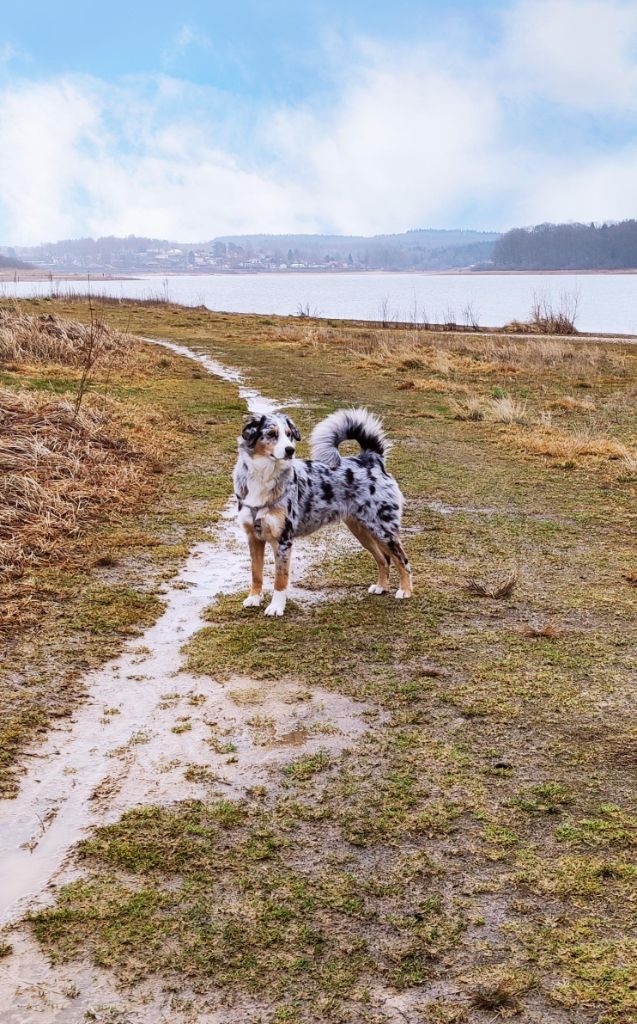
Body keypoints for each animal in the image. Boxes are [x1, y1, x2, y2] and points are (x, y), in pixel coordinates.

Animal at [234, 407, 413, 614]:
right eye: (271, 434)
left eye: (289, 435)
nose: (290, 450)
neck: (263, 477)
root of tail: (371, 460)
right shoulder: (254, 537)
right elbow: (256, 573)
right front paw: (254, 598)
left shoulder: (283, 540)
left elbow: (280, 579)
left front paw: (276, 607)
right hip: (362, 530)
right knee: (383, 559)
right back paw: (381, 586)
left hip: (383, 529)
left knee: (402, 559)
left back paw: (405, 590)